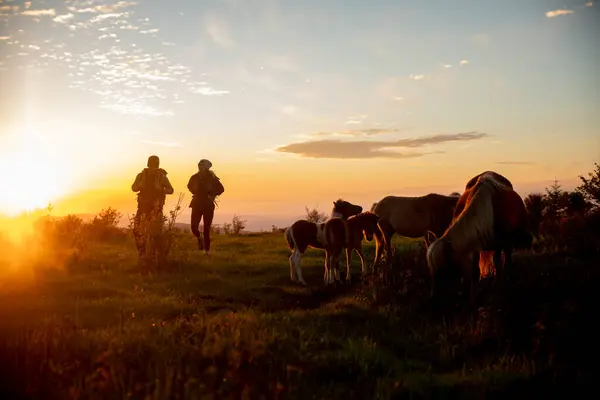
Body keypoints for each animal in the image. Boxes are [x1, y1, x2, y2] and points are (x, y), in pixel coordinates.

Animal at [424, 170, 532, 304]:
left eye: (444, 269)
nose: (432, 299)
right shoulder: (474, 246)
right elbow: (475, 271)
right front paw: (473, 297)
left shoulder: (504, 243)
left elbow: (502, 264)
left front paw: (501, 289)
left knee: (503, 261)